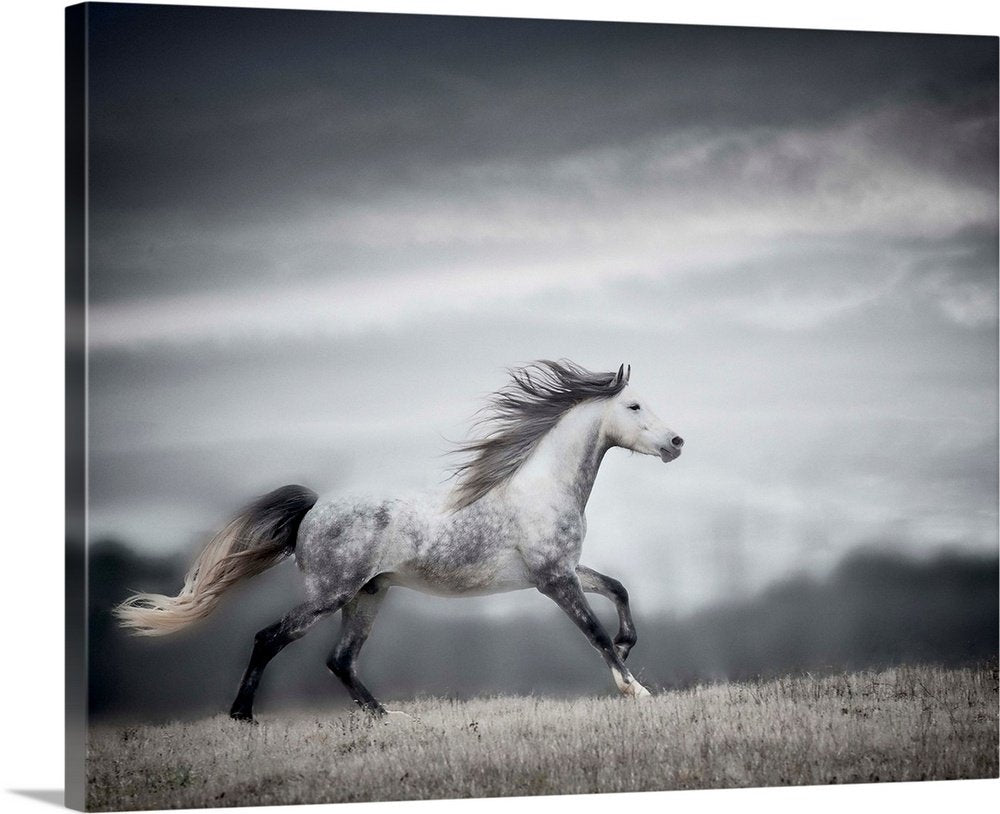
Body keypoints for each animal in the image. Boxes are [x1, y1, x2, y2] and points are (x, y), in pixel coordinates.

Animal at [114, 359, 684, 721]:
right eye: (635, 406)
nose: (676, 442)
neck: (540, 488)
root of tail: (312, 510)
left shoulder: (563, 569)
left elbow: (617, 589)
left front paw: (630, 649)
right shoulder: (552, 579)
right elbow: (594, 632)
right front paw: (636, 691)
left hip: (368, 595)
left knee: (340, 660)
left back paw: (389, 717)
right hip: (330, 595)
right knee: (269, 639)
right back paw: (243, 718)